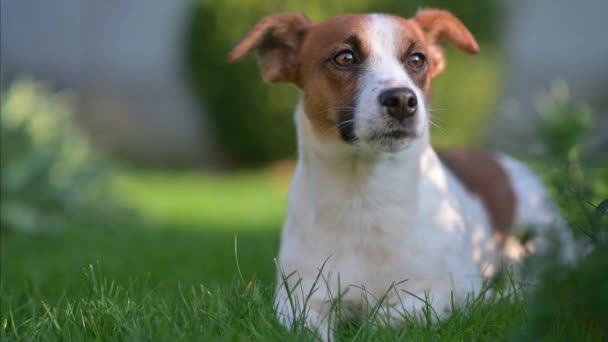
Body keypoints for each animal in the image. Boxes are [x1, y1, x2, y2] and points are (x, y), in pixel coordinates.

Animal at [227, 9, 576, 340]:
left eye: (417, 59)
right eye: (344, 57)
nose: (402, 100)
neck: (364, 196)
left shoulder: (447, 293)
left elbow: (382, 319)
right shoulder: (298, 301)